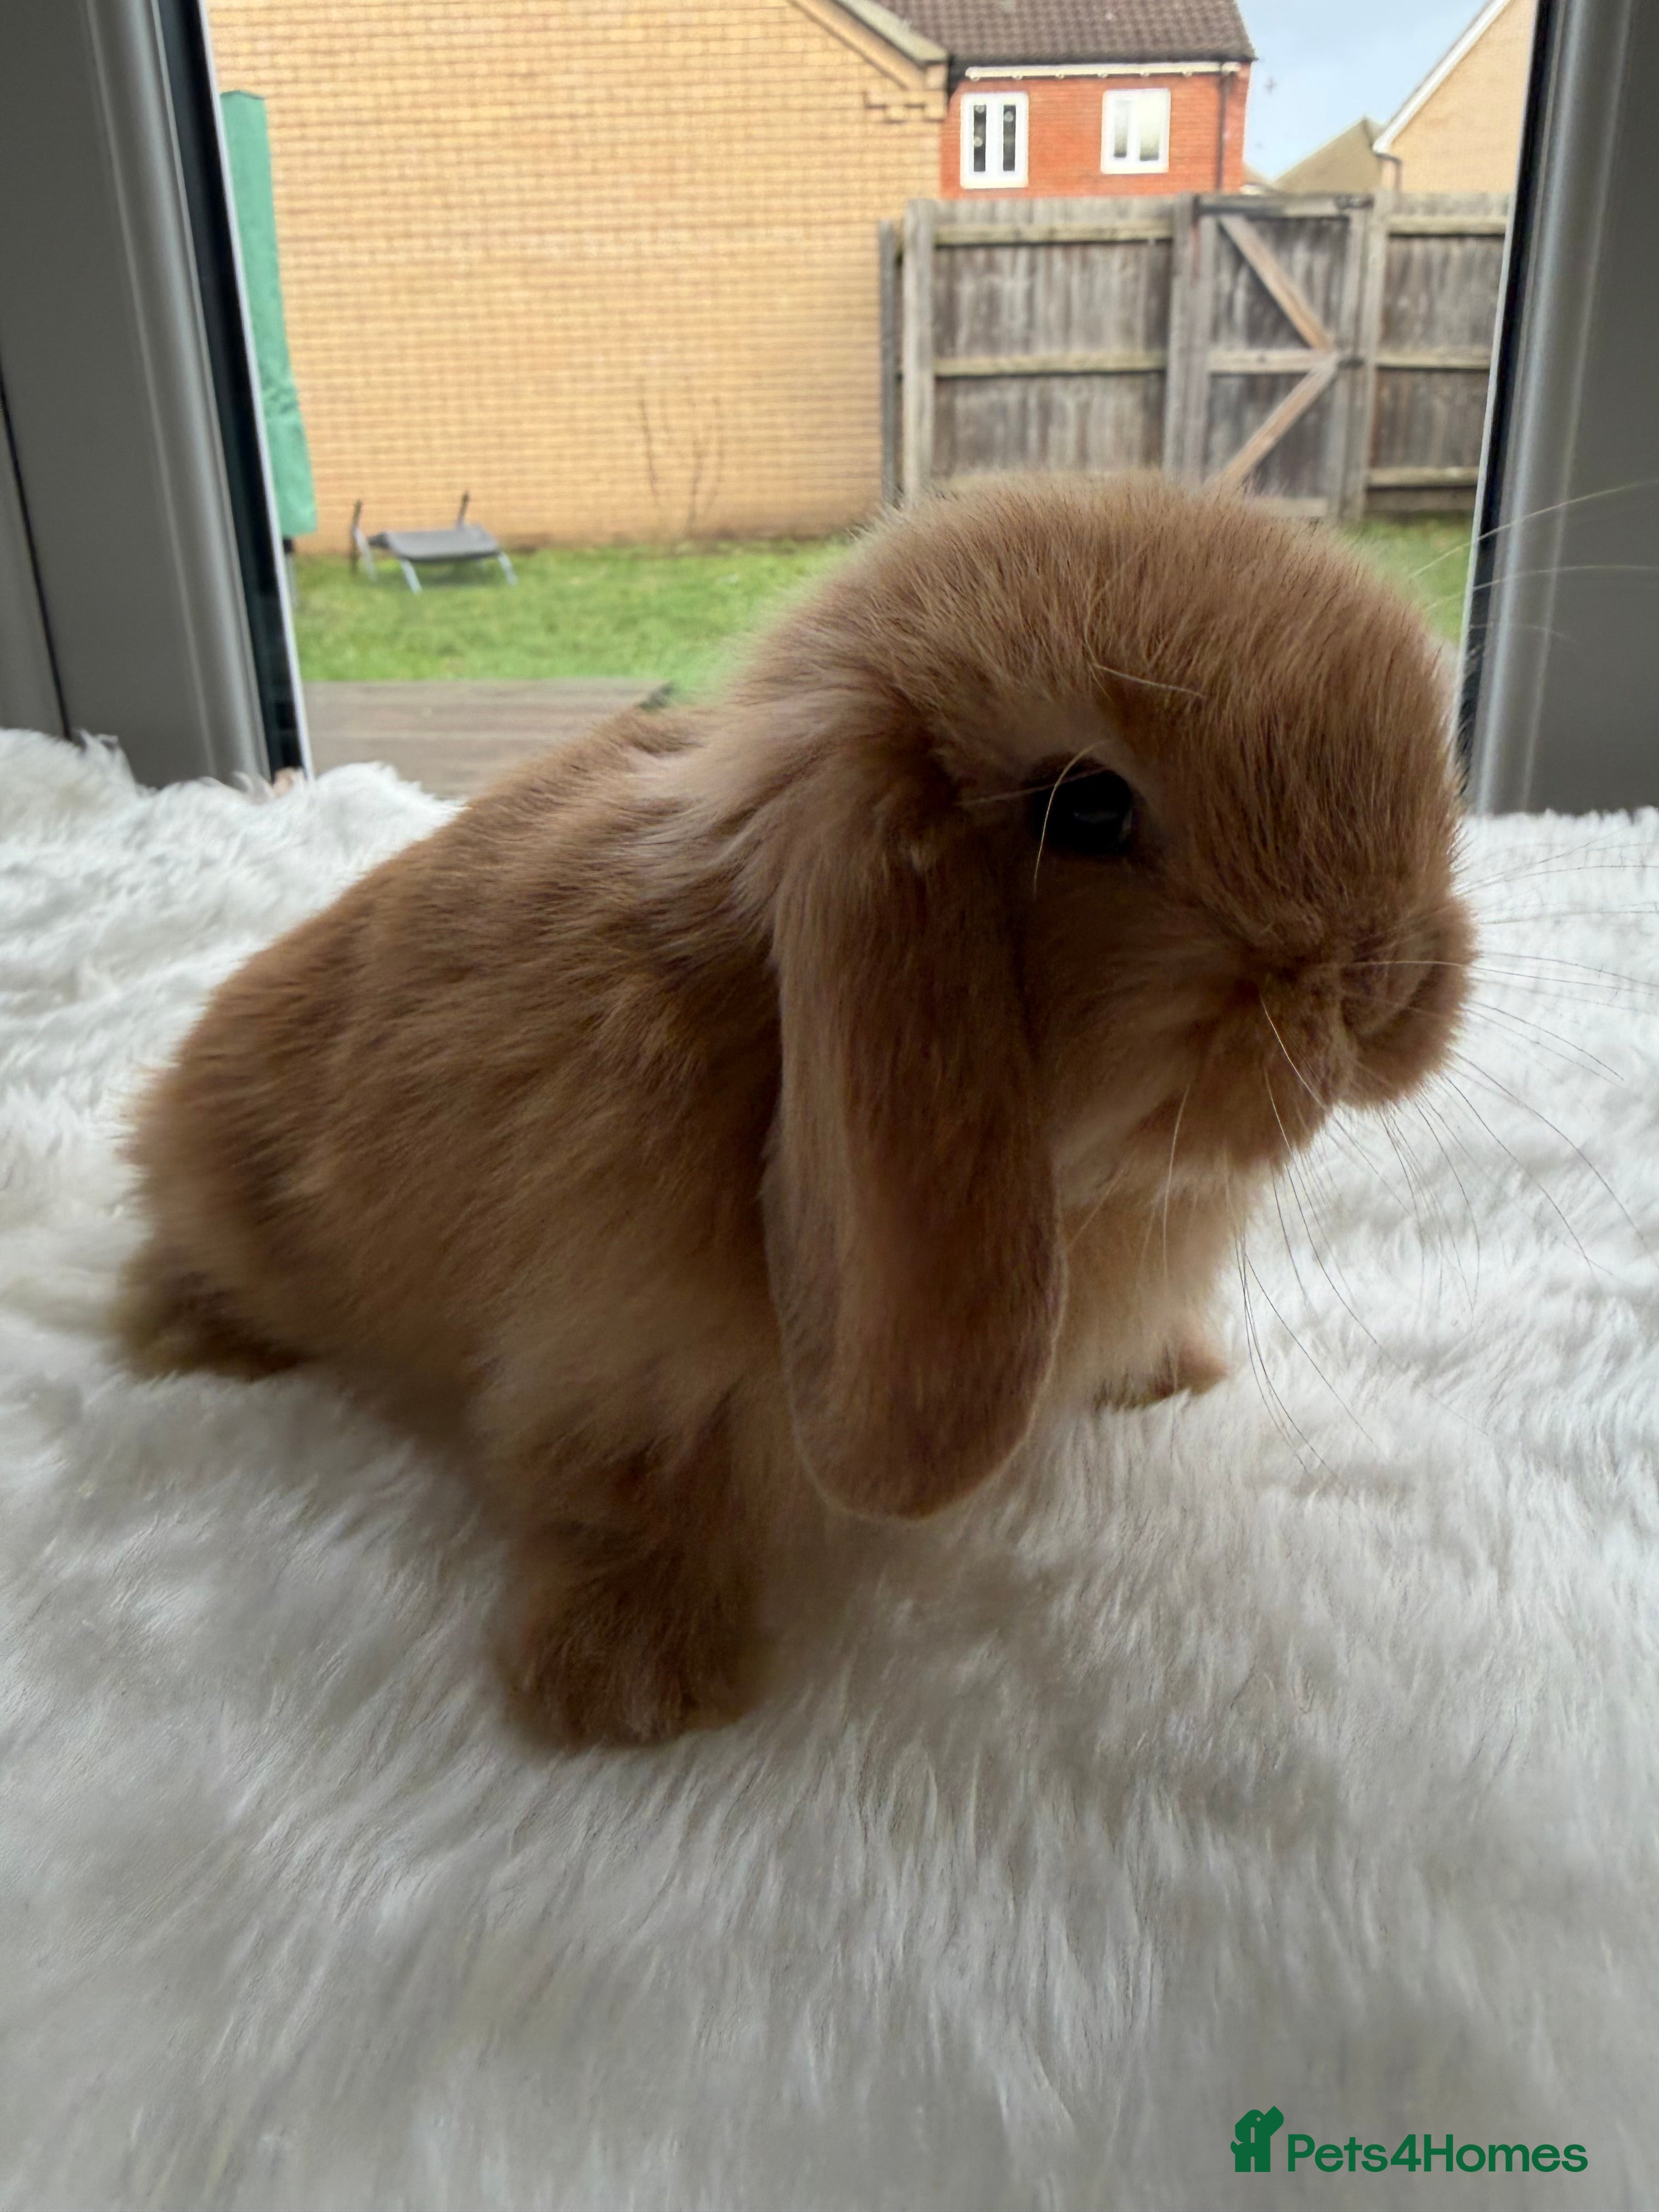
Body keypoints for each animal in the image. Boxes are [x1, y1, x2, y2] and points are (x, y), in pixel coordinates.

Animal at [118, 474, 1474, 1747]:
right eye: (1085, 808)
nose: (1385, 982)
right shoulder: (609, 1352)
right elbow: (619, 1496)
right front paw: (632, 1690)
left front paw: (1173, 1372)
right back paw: (195, 1343)